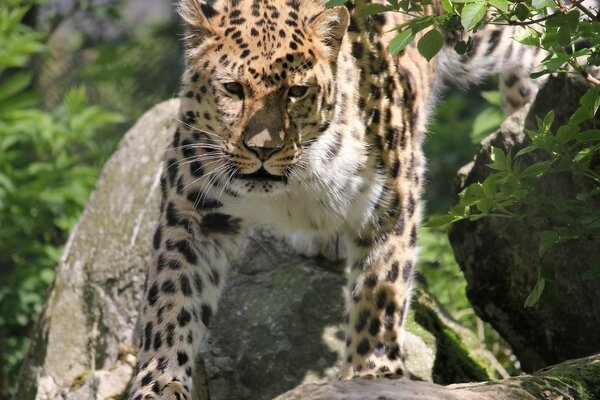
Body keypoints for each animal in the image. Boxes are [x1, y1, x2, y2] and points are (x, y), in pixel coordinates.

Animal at [129, 1, 548, 398]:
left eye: (296, 91)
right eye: (233, 89)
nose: (263, 150)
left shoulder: (391, 198)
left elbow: (380, 293)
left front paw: (372, 375)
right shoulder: (192, 212)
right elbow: (171, 301)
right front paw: (158, 385)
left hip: (473, 31)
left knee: (532, 34)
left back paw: (530, 111)